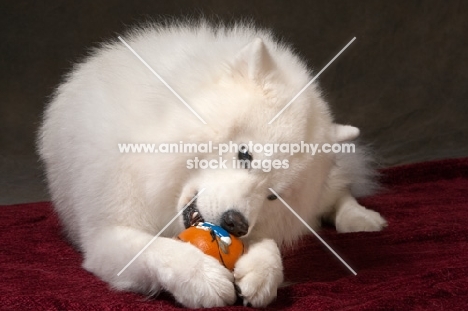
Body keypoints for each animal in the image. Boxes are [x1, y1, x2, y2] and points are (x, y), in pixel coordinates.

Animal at [37, 22, 388, 310]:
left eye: (273, 196)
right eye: (244, 155)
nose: (236, 224)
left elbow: (270, 246)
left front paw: (263, 273)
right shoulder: (105, 237)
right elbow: (157, 250)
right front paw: (202, 279)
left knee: (339, 191)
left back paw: (360, 218)